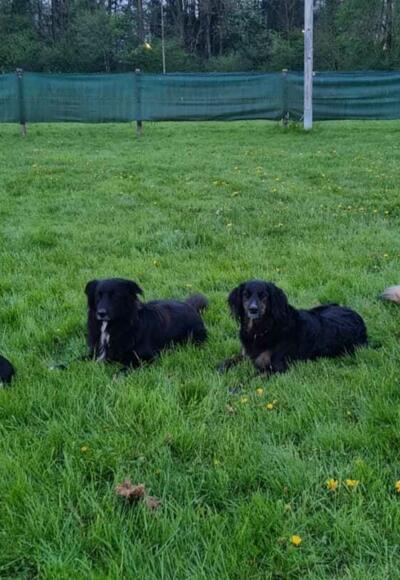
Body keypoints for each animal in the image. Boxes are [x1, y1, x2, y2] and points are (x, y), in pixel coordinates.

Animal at [219, 280, 368, 374]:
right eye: (246, 295)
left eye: (264, 296)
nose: (253, 310)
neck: (262, 330)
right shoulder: (246, 354)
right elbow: (229, 360)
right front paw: (220, 369)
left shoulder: (277, 368)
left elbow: (250, 380)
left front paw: (234, 388)